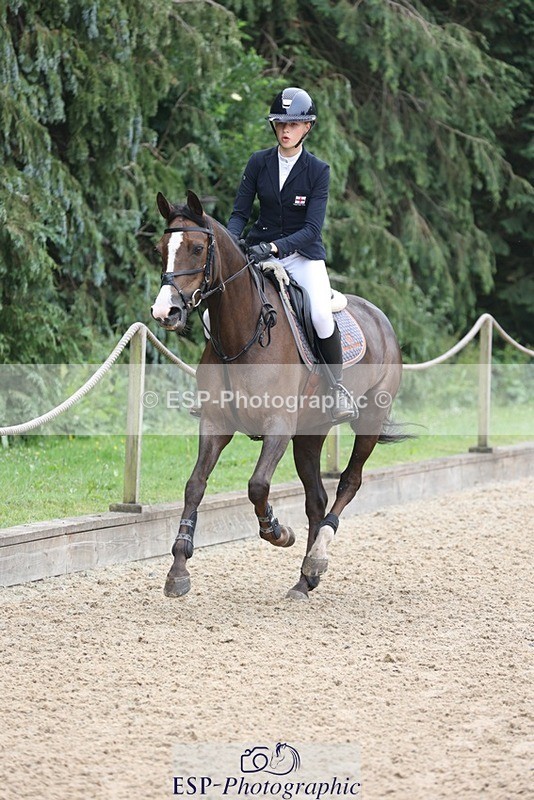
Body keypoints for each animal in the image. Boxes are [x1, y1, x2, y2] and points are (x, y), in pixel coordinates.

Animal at [151, 190, 403, 600]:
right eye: (160, 249)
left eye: (197, 248)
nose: (165, 311)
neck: (241, 334)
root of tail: (380, 318)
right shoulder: (215, 424)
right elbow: (194, 486)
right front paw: (178, 569)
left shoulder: (278, 427)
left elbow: (257, 486)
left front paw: (277, 531)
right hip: (310, 433)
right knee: (316, 499)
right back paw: (305, 580)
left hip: (369, 419)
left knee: (349, 482)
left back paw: (317, 558)